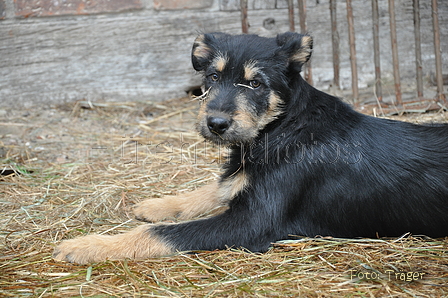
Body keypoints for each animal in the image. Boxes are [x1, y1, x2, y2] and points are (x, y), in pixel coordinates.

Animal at [53, 31, 448, 264]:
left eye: (255, 83)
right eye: (213, 77)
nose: (216, 124)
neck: (281, 127)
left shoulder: (253, 223)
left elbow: (164, 233)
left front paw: (88, 246)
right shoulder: (244, 182)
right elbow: (214, 188)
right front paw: (160, 204)